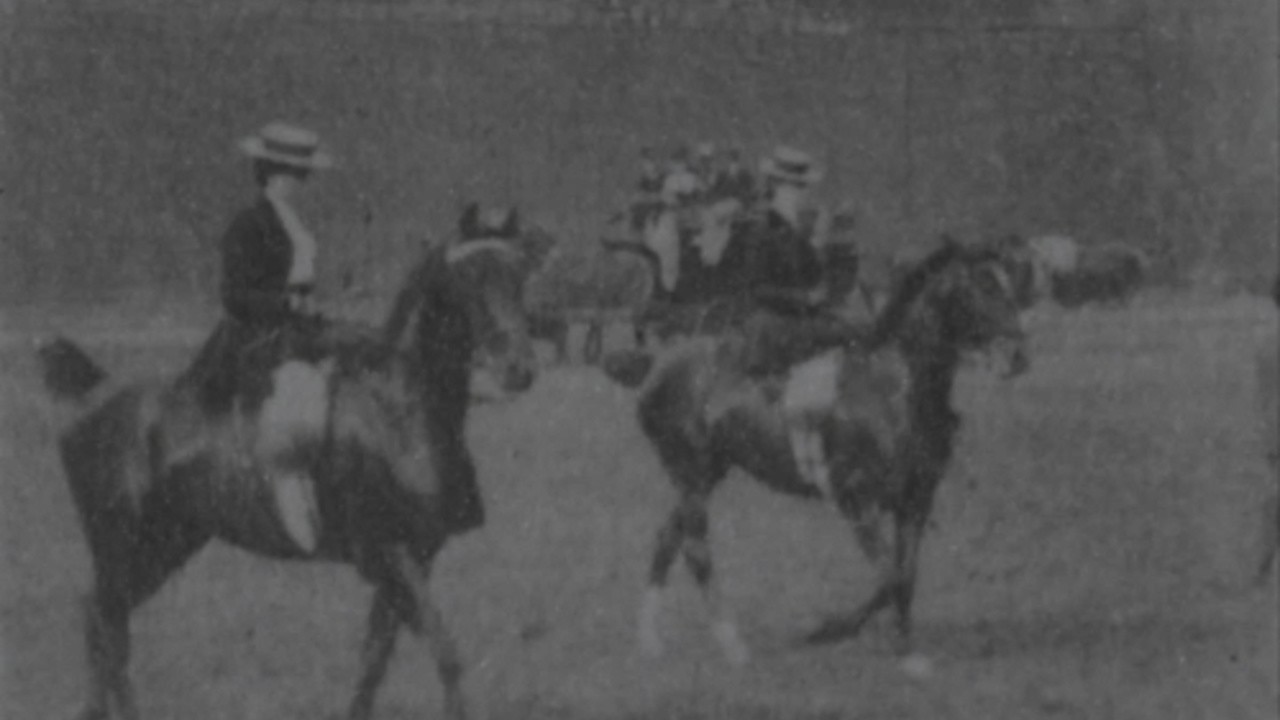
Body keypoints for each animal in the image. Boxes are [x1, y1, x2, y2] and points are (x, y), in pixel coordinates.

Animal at [35, 237, 535, 717]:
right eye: (470, 281)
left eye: (517, 281)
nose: (519, 369)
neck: (397, 407)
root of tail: (93, 396)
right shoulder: (389, 553)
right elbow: (445, 651)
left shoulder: (416, 556)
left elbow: (374, 658)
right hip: (125, 547)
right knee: (105, 624)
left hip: (165, 546)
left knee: (103, 623)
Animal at [604, 238, 1034, 671]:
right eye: (982, 285)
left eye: (1009, 281)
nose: (1017, 355)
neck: (892, 390)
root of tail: (655, 365)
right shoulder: (856, 500)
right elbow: (890, 576)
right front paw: (827, 629)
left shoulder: (915, 501)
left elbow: (906, 574)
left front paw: (905, 650)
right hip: (689, 472)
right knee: (695, 549)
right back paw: (732, 644)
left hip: (708, 474)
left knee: (666, 538)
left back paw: (650, 640)